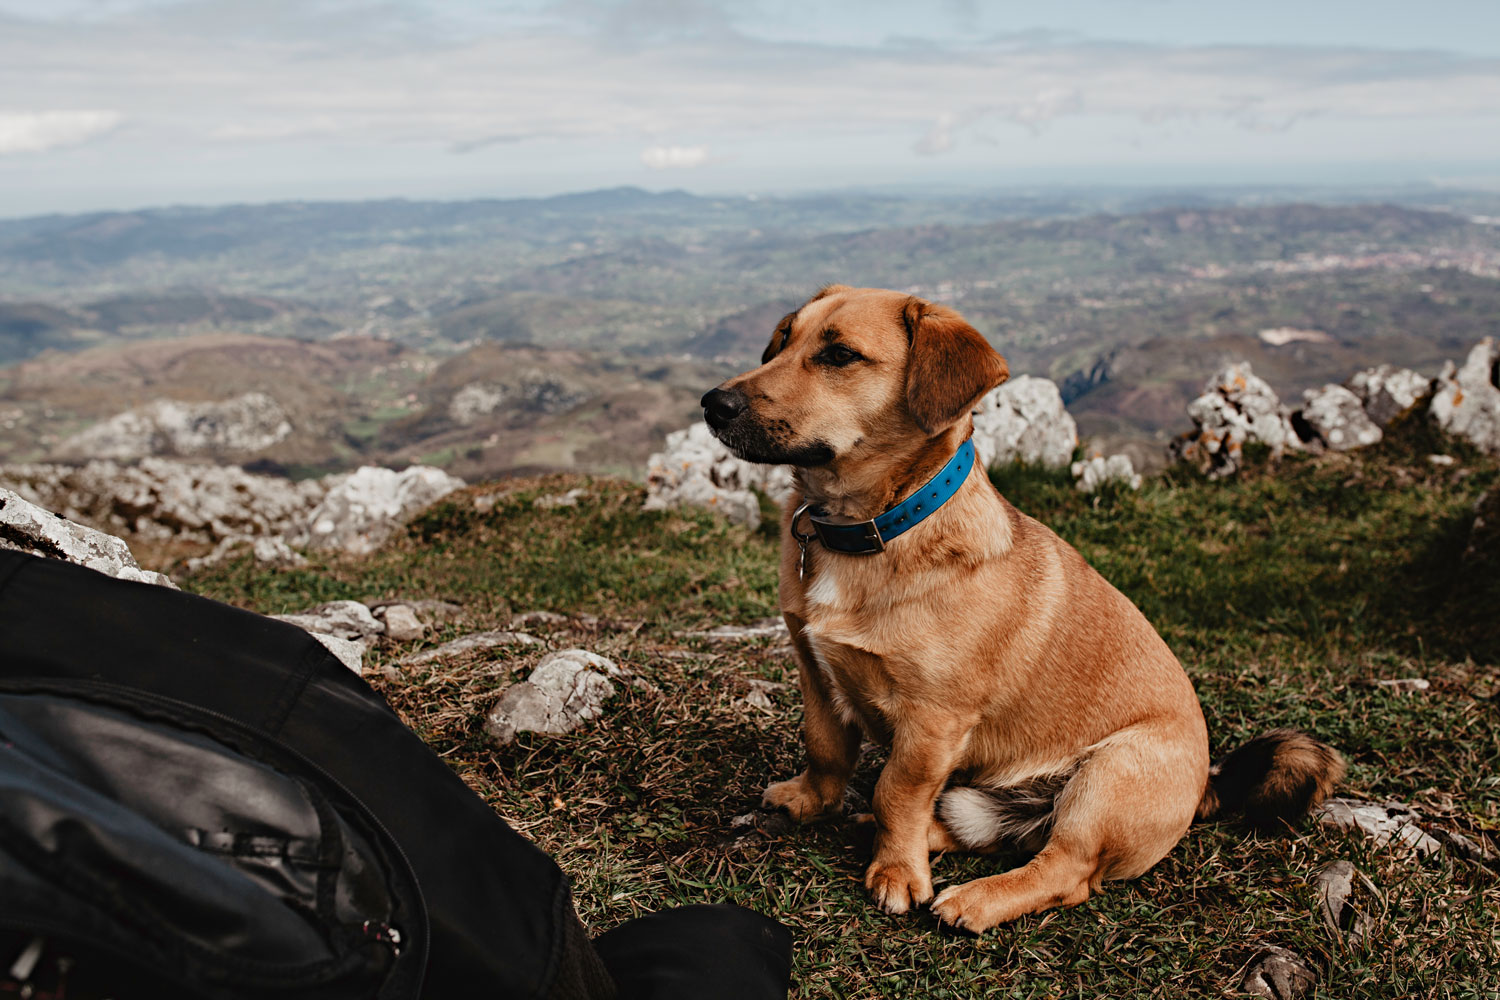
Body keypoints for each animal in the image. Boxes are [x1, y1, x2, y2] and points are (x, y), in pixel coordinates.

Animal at [702, 284, 1350, 935]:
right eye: (784, 340)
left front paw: (897, 871)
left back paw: (973, 899)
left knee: (1065, 870)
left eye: (840, 355)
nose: (713, 404)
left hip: (1107, 778)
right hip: (994, 801)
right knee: (1000, 835)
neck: (875, 528)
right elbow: (825, 747)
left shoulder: (932, 723)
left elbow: (895, 792)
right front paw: (812, 801)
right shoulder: (815, 670)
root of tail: (1205, 789)